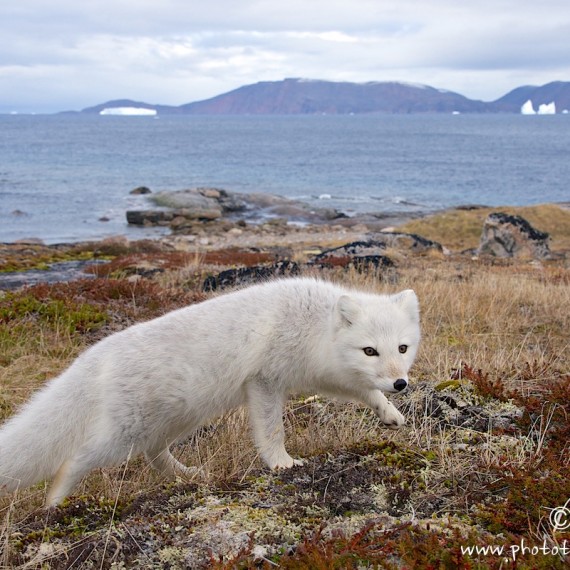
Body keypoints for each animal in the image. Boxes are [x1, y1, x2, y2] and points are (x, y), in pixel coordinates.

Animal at [0, 278, 418, 504]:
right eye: (369, 350)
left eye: (402, 348)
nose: (401, 383)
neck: (314, 325)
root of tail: (97, 353)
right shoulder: (264, 381)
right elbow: (271, 431)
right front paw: (282, 463)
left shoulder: (325, 374)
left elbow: (365, 391)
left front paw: (389, 412)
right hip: (124, 435)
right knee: (75, 459)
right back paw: (54, 503)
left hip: (175, 421)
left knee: (154, 455)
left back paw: (187, 475)